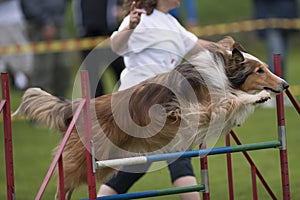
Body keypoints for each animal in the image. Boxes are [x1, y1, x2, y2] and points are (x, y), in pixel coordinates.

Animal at [12, 36, 288, 198]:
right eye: (259, 71)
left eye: (267, 67)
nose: (285, 85)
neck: (223, 74)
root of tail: (79, 105)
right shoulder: (197, 107)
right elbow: (231, 99)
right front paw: (259, 96)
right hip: (87, 157)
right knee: (65, 179)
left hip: (110, 159)